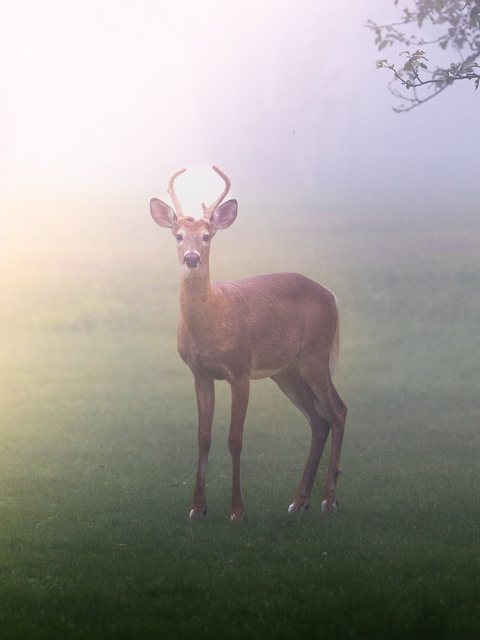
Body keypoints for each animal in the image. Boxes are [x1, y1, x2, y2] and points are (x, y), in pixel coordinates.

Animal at [150, 166, 347, 521]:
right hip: (286, 371)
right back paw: (298, 501)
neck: (211, 322)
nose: (192, 258)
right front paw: (197, 508)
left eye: (207, 236)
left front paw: (237, 510)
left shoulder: (240, 370)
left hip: (315, 355)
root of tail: (331, 295)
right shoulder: (199, 373)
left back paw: (329, 500)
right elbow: (203, 437)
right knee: (318, 419)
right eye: (177, 235)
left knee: (338, 410)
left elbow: (235, 438)